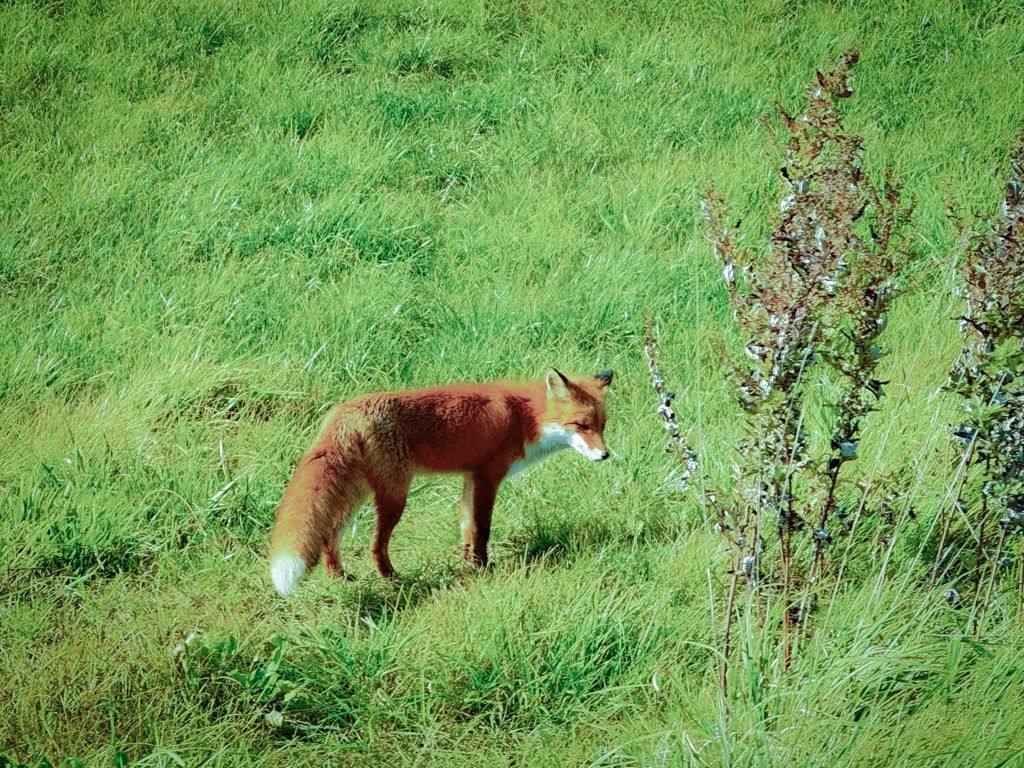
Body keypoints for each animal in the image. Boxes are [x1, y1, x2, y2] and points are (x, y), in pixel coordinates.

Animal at [268, 370, 610, 598]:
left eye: (602, 426)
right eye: (581, 425)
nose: (605, 455)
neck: (522, 417)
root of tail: (344, 411)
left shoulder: (470, 477)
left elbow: (467, 529)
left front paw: (469, 565)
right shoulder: (488, 476)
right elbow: (482, 529)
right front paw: (483, 568)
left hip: (357, 494)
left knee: (329, 536)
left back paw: (339, 578)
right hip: (395, 496)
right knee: (375, 545)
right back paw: (391, 578)